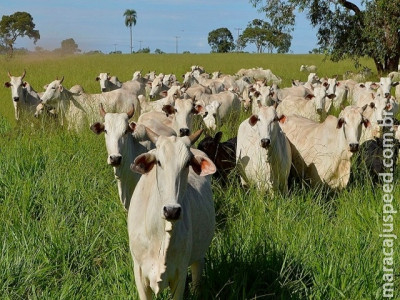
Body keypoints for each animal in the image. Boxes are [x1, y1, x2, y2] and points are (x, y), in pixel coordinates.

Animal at [128, 129, 216, 300]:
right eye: (159, 162)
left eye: (187, 163)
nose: (171, 210)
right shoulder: (139, 272)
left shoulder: (180, 274)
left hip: (198, 257)